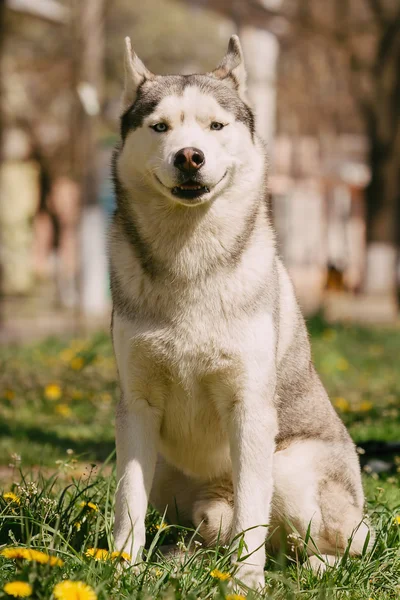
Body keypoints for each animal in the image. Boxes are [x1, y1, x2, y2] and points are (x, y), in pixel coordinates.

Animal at [109, 35, 372, 588]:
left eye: (215, 126)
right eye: (160, 126)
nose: (189, 156)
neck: (190, 262)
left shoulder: (250, 407)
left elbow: (254, 509)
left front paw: (246, 581)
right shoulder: (136, 407)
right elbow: (127, 500)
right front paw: (121, 566)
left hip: (292, 471)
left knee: (323, 545)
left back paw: (303, 568)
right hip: (174, 481)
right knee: (205, 529)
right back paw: (184, 560)